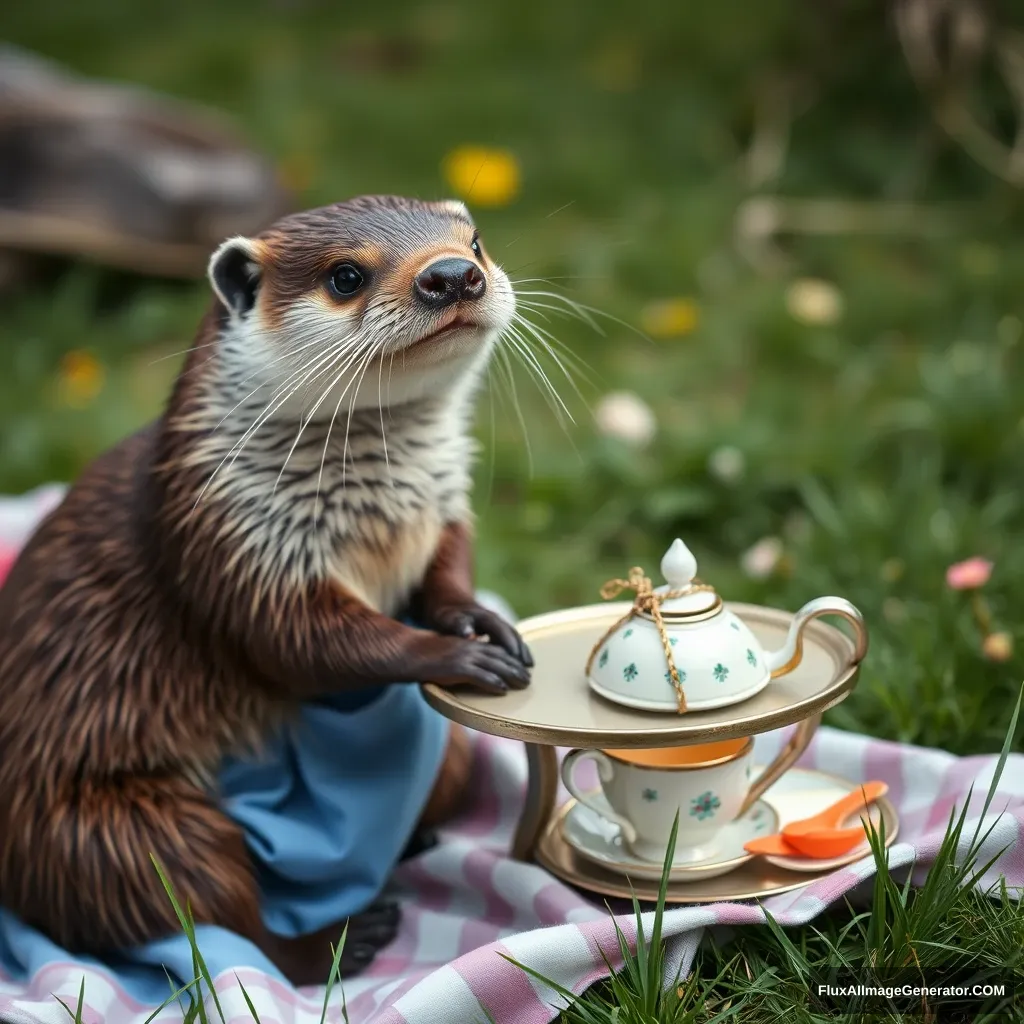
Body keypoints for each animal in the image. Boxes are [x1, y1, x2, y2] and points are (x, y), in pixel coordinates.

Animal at [0, 192, 540, 983]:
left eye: (475, 243)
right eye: (346, 275)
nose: (452, 274)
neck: (378, 517)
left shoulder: (443, 506)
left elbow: (447, 570)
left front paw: (478, 621)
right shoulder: (230, 541)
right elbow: (299, 643)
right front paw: (458, 656)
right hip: (113, 832)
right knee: (221, 921)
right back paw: (341, 939)